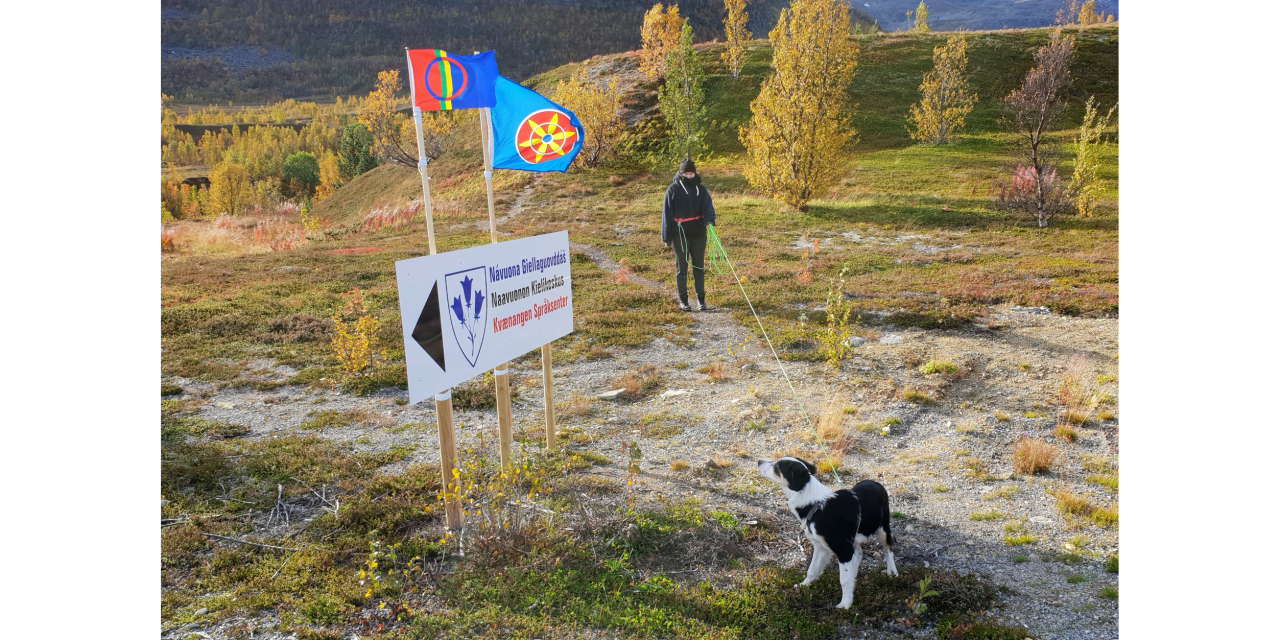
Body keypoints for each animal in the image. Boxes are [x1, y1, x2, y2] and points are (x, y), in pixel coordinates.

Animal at [752, 458, 896, 606]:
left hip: (883, 529)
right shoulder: (820, 546)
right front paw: (804, 585)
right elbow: (812, 569)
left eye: (777, 466)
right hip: (853, 536)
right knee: (859, 552)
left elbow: (844, 580)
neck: (816, 506)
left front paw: (845, 604)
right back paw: (854, 574)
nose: (759, 461)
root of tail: (876, 483)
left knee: (888, 549)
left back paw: (892, 573)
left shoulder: (843, 548)